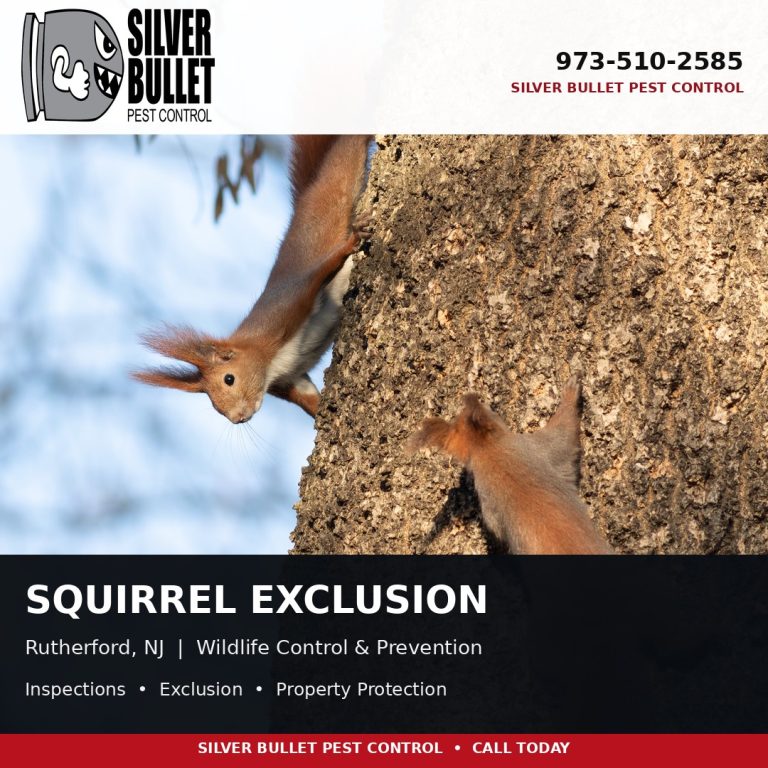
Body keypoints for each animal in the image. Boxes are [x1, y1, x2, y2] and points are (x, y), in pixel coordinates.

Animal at [134, 135, 372, 422]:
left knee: (347, 150)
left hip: (339, 179)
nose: (238, 418)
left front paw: (352, 242)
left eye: (229, 379)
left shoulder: (289, 304)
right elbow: (311, 399)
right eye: (213, 404)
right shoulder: (291, 379)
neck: (269, 360)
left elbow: (323, 269)